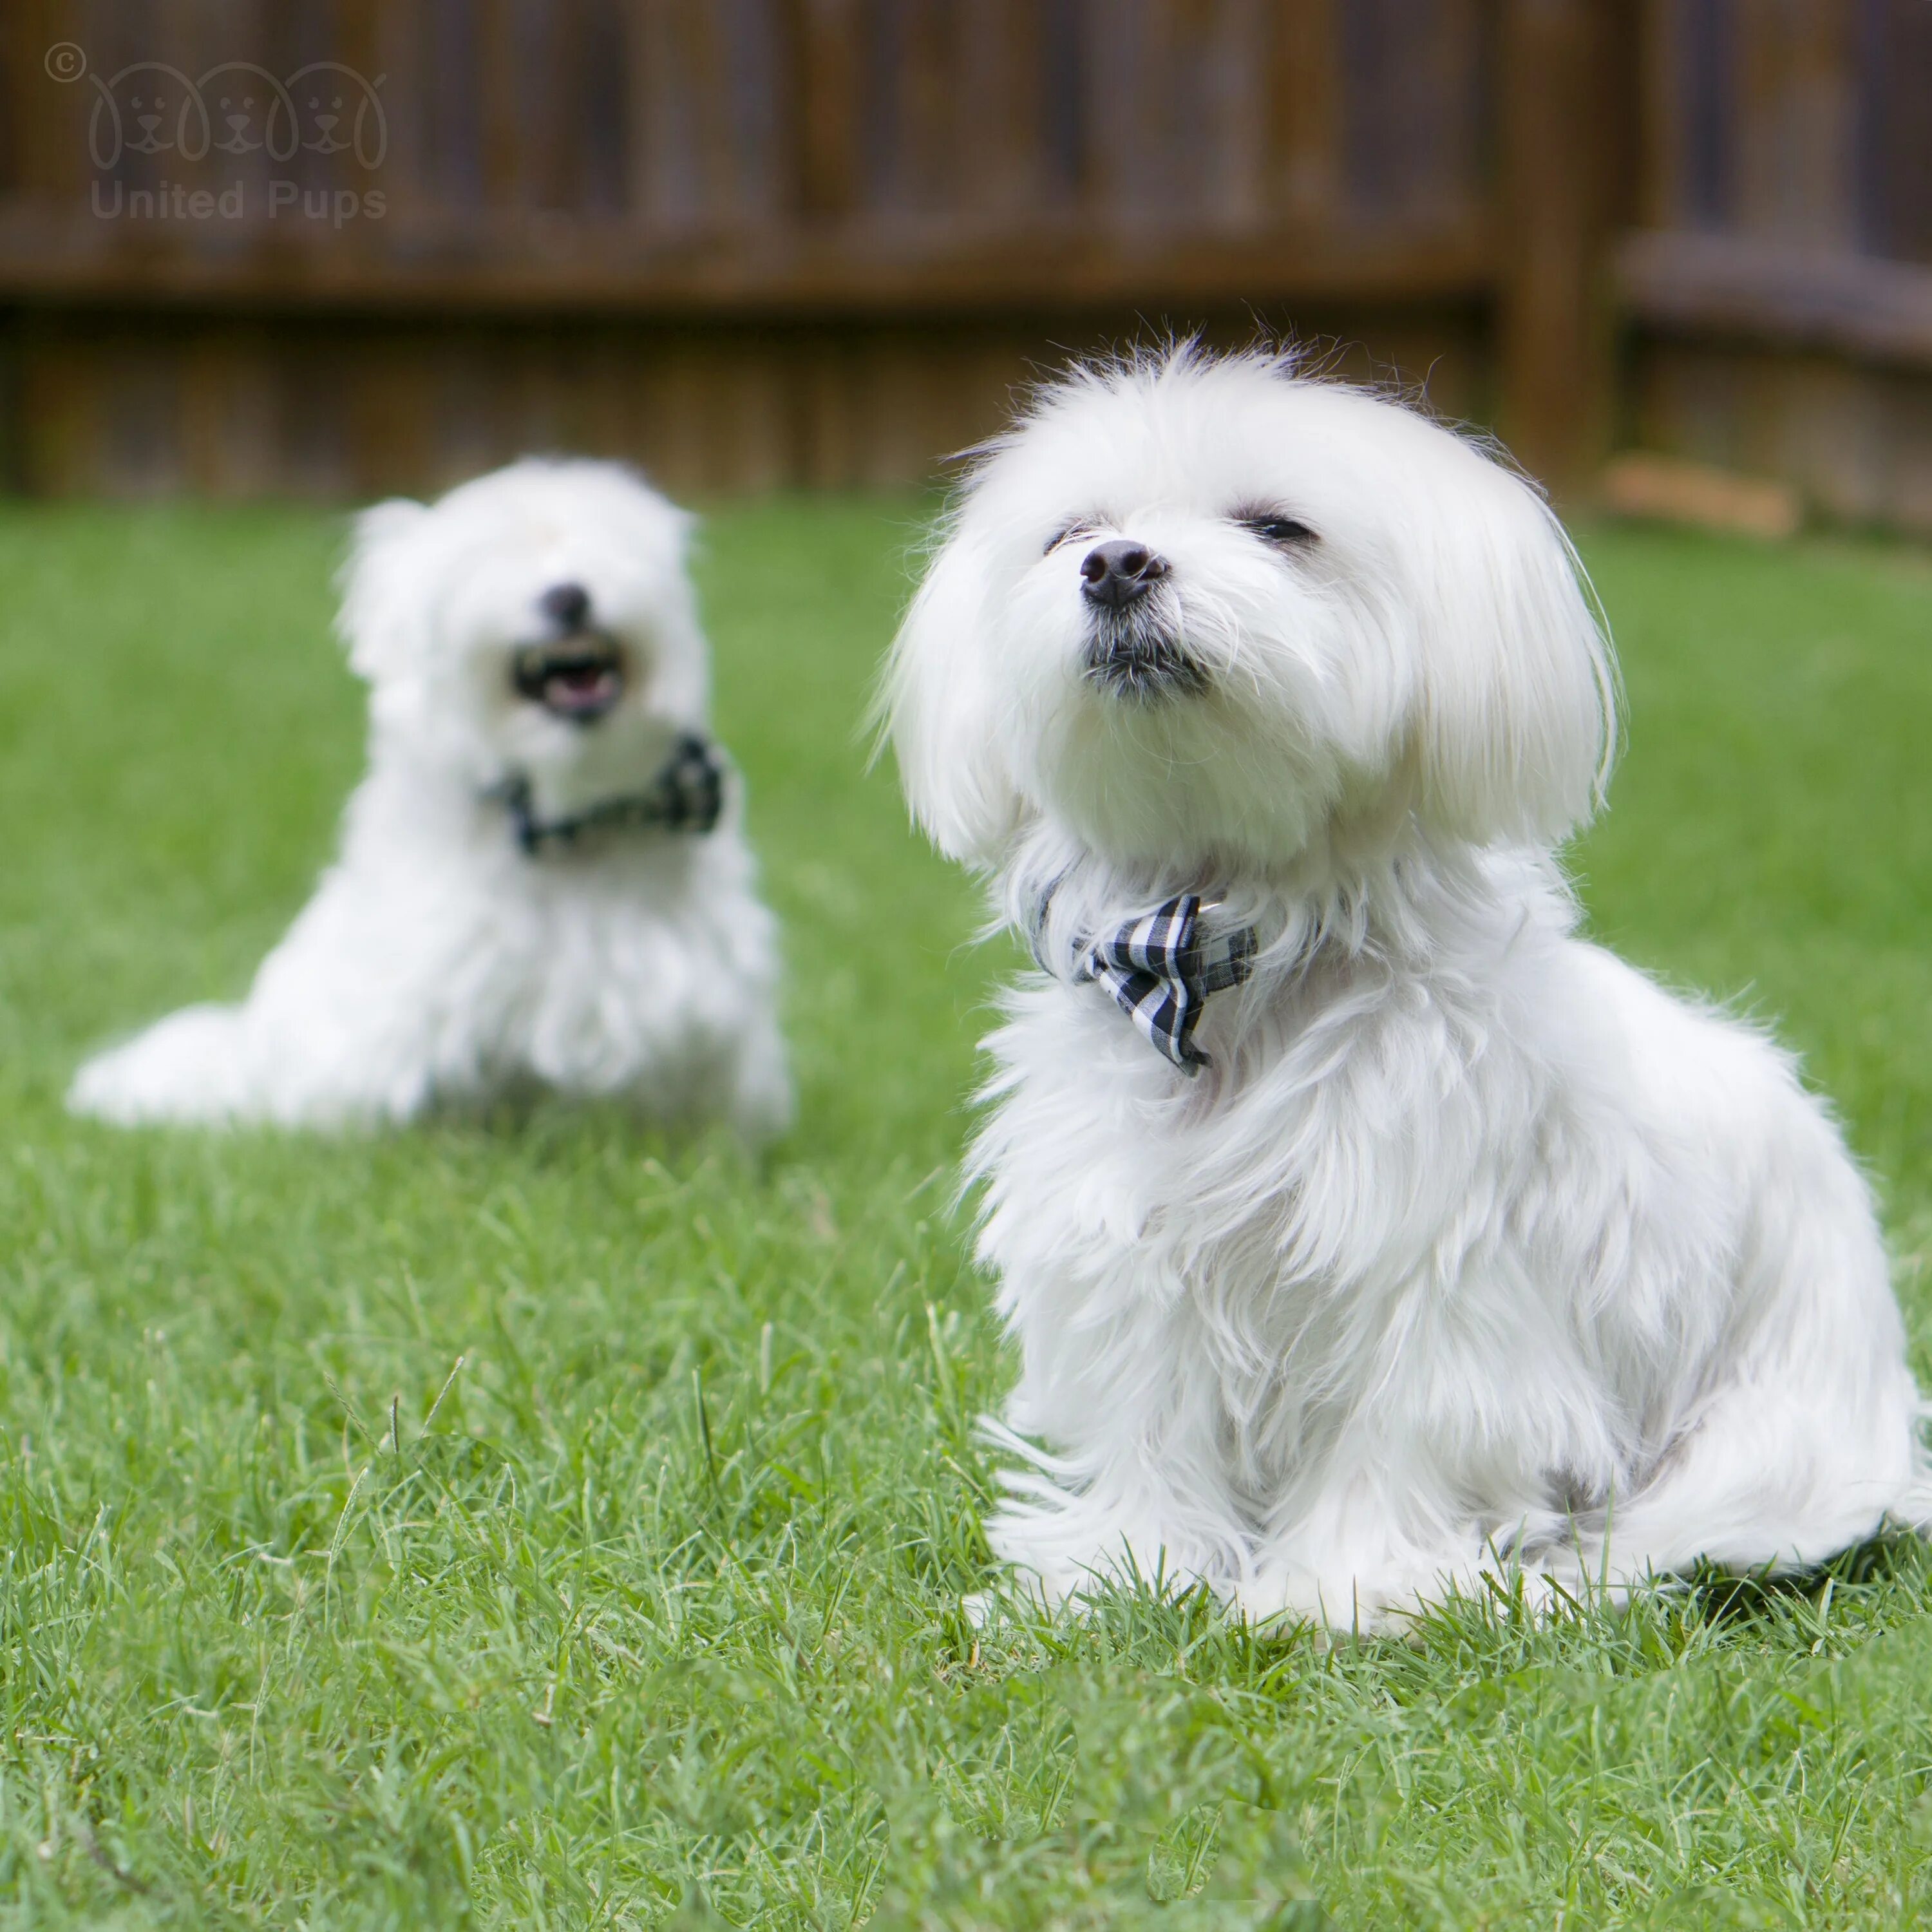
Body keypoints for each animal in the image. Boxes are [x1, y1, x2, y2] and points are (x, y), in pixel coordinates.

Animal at [885, 348, 1924, 1631]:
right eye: (1069, 532)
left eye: (1280, 529)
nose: (1116, 565)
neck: (1226, 966)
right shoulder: (1132, 1252)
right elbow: (1153, 1424)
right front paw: (1127, 1573)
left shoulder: (1433, 1277)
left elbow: (1397, 1433)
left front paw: (1344, 1590)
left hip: (1762, 1450)